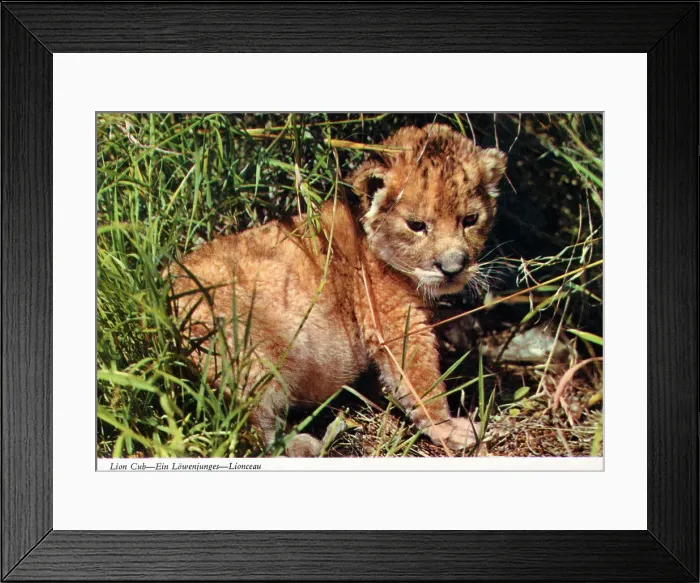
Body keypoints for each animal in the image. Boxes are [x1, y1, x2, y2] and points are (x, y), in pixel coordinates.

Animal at [165, 123, 507, 457]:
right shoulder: (393, 319)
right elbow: (420, 376)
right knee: (243, 423)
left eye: (470, 219)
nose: (453, 267)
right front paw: (446, 428)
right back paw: (303, 445)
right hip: (247, 350)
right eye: (416, 225)